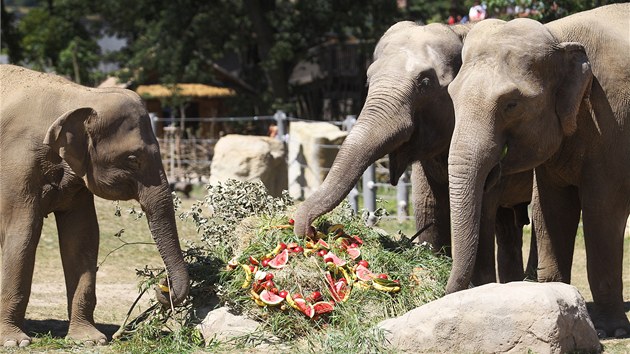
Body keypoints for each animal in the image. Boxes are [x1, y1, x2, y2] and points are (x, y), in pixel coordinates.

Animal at [0, 65, 190, 348]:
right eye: (132, 159)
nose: (161, 288)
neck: (79, 95)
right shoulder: (16, 163)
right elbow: (23, 232)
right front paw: (15, 342)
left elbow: (82, 235)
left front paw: (90, 340)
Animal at [292, 20, 540, 284]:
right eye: (368, 80)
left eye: (425, 82)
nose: (310, 231)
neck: (459, 30)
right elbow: (428, 206)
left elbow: (483, 208)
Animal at [446, 3, 630, 338]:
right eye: (451, 95)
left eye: (511, 104)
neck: (559, 35)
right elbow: (552, 208)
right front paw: (560, 302)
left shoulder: (615, 121)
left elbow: (602, 209)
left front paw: (613, 330)